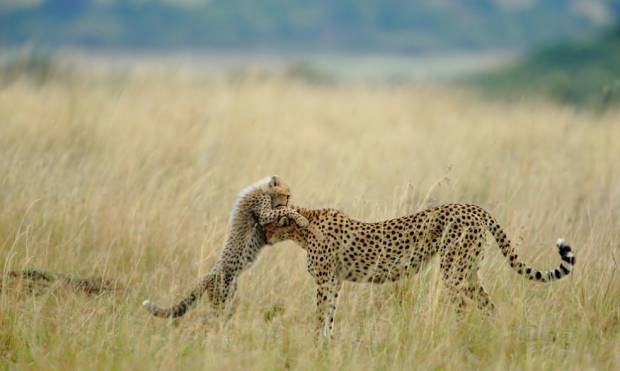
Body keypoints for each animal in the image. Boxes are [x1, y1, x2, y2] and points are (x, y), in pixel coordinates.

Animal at [264, 205, 572, 338]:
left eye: (265, 221)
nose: (262, 236)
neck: (303, 225)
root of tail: (473, 207)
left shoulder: (327, 281)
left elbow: (320, 316)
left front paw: (317, 345)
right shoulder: (335, 282)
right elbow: (329, 316)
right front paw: (326, 345)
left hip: (453, 271)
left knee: (463, 306)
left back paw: (457, 339)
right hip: (469, 271)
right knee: (488, 306)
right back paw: (489, 336)